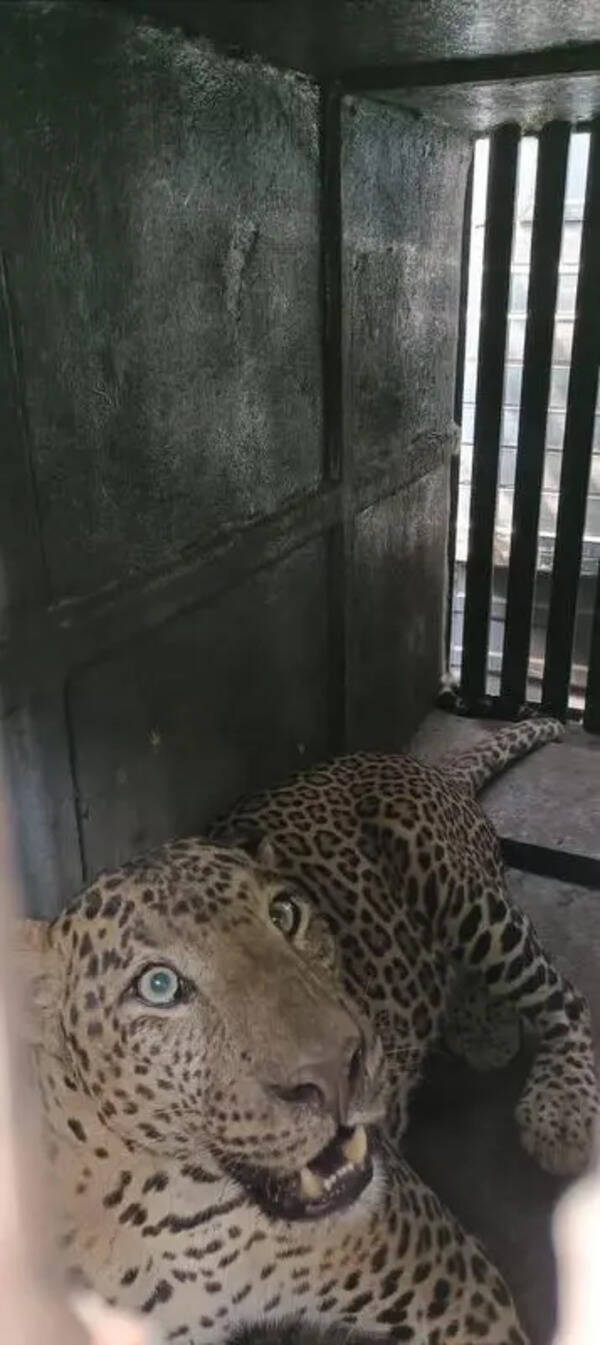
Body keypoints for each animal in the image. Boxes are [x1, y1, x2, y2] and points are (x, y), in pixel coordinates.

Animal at [14, 716, 599, 1345]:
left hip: (464, 895)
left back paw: (559, 1112)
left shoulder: (456, 1286)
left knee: (566, 997)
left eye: (287, 914)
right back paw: (483, 1030)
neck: (174, 1216)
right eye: (159, 986)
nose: (339, 1069)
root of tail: (419, 764)